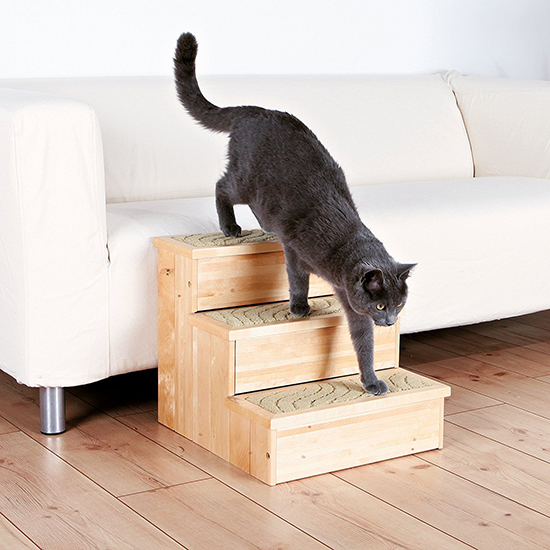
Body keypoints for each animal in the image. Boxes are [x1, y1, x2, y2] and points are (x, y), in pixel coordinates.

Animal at [175, 33, 416, 396]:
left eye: (398, 305)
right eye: (381, 305)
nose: (390, 322)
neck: (344, 248)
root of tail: (254, 111)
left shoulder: (352, 303)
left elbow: (363, 342)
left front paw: (371, 380)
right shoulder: (297, 250)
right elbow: (297, 278)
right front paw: (300, 307)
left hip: (262, 193)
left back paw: (261, 225)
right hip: (247, 181)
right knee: (221, 186)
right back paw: (230, 227)